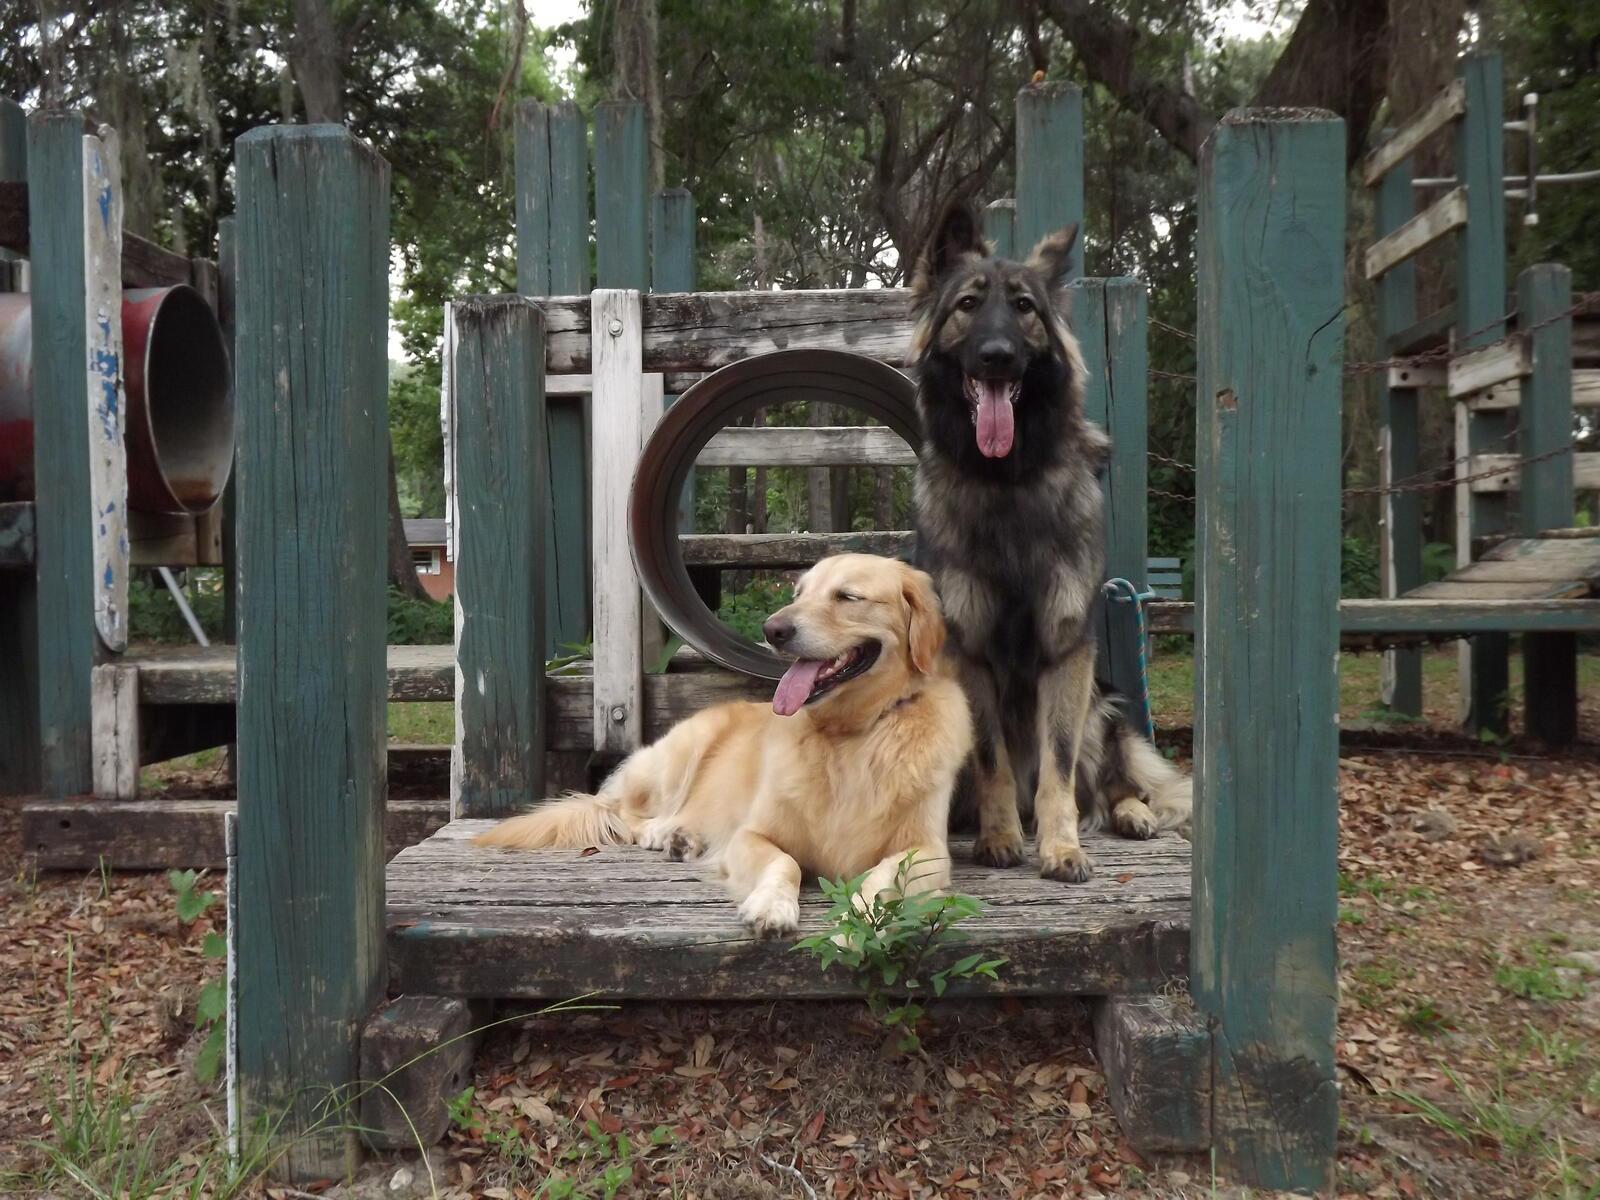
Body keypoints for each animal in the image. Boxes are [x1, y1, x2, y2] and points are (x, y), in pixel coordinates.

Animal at [473, 553, 973, 936]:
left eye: (848, 596)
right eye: (799, 594)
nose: (773, 629)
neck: (849, 734)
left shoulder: (929, 850)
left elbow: (885, 876)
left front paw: (863, 917)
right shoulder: (751, 836)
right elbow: (785, 863)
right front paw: (771, 906)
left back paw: (683, 838)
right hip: (678, 755)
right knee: (622, 812)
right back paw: (664, 834)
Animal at [909, 201, 1191, 884]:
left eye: (1024, 307)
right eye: (967, 304)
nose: (997, 356)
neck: (1007, 481)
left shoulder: (1068, 649)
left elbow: (1058, 765)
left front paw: (1061, 846)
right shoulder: (971, 651)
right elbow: (993, 759)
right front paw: (1000, 836)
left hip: (1104, 703)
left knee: (1110, 781)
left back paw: (1131, 814)